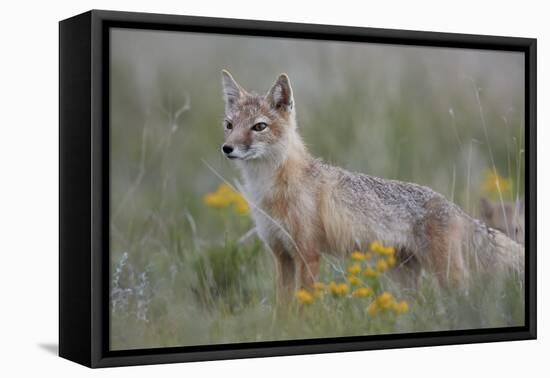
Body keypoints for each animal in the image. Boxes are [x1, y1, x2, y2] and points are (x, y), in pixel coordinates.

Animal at [220, 69, 528, 296]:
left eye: (259, 127)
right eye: (229, 125)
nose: (227, 148)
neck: (268, 190)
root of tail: (454, 207)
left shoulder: (308, 254)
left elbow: (303, 307)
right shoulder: (281, 255)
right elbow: (282, 312)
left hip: (448, 278)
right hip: (404, 281)